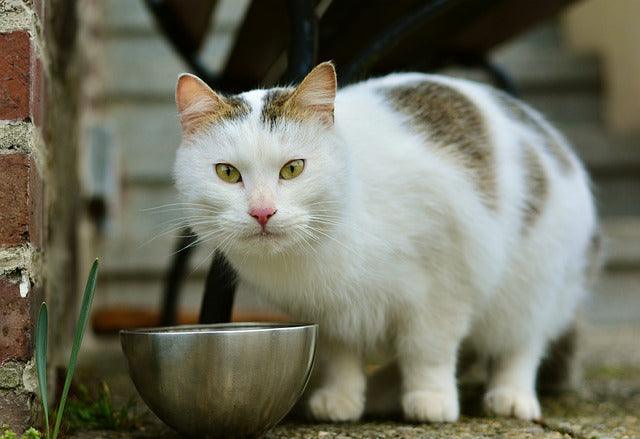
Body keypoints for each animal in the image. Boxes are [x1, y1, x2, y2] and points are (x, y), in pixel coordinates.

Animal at [171, 62, 600, 422]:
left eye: (293, 169)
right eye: (227, 173)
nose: (262, 212)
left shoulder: (444, 283)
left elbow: (428, 350)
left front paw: (431, 400)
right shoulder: (328, 312)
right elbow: (340, 357)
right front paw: (341, 400)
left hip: (531, 284)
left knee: (521, 344)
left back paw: (511, 397)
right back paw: (382, 392)